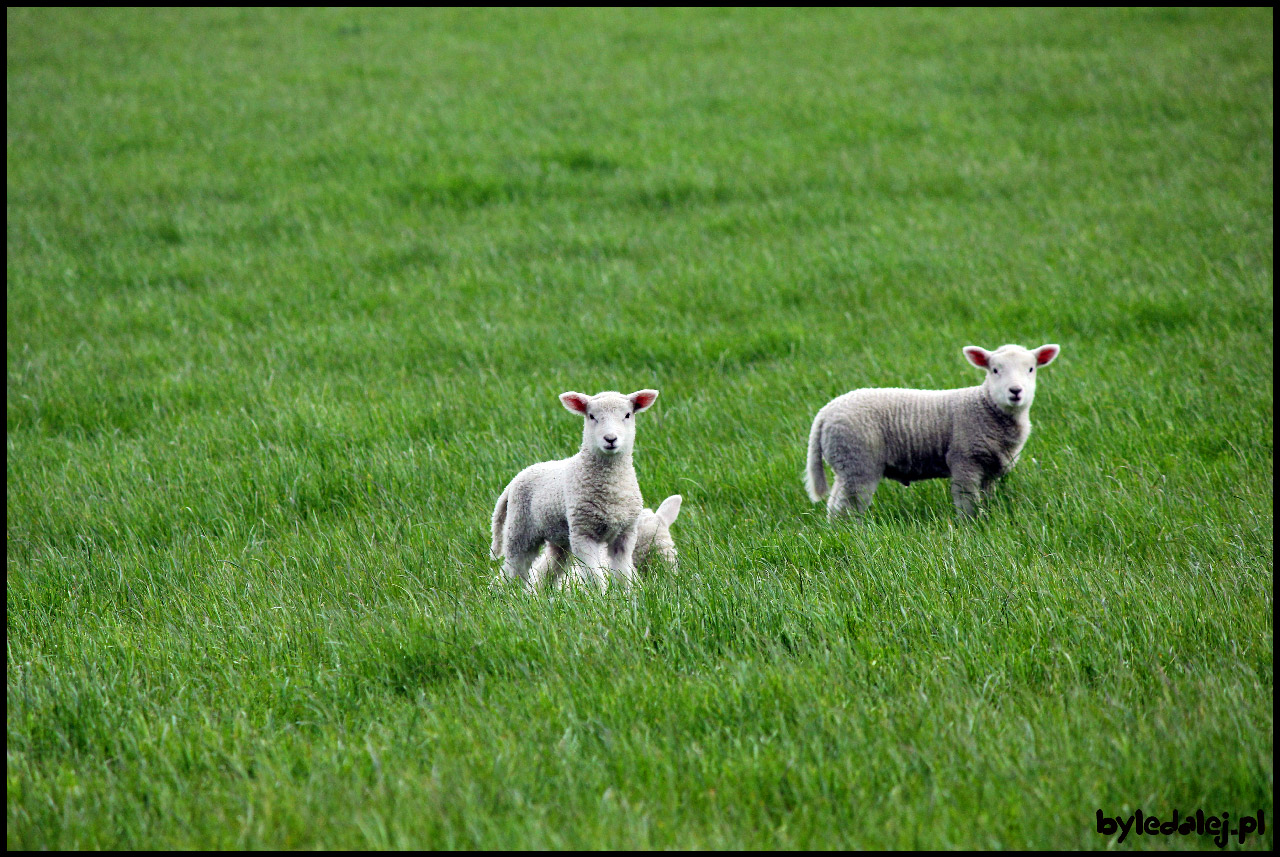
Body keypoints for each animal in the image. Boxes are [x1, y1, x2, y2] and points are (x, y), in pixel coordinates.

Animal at [488, 391, 660, 588]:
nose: (610, 439)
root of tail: (515, 480)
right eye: (591, 416)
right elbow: (594, 577)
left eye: (627, 415)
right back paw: (504, 593)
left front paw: (625, 594)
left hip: (560, 538)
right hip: (520, 529)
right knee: (513, 569)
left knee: (547, 569)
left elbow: (623, 573)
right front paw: (601, 595)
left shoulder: (625, 534)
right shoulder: (583, 533)